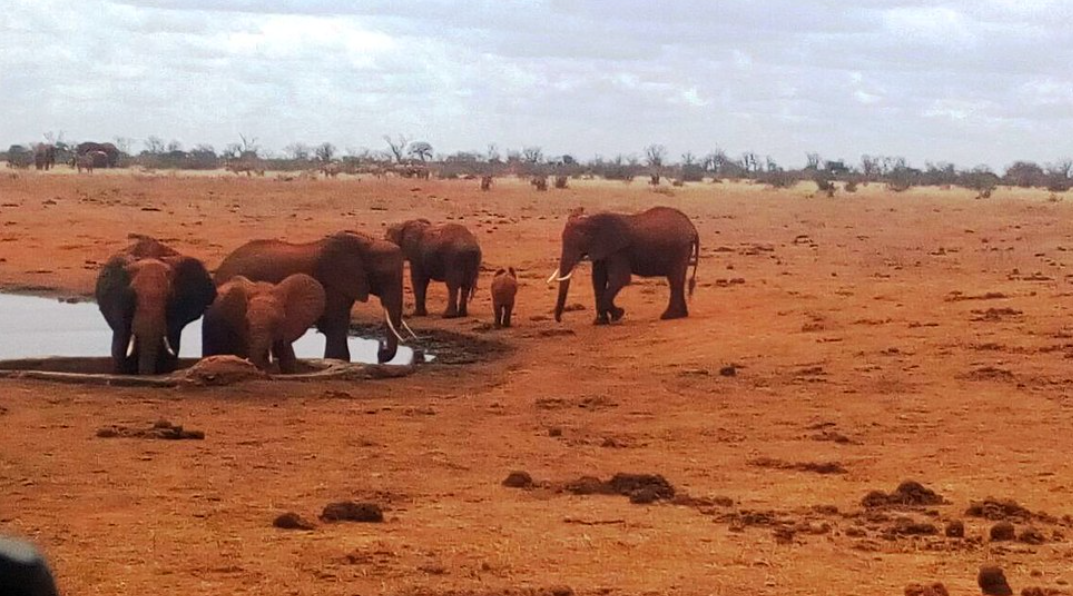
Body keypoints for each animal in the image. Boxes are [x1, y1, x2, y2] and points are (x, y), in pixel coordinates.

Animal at [215, 231, 407, 362]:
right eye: (385, 276)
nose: (380, 353)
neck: (366, 242)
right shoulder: (335, 281)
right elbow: (336, 324)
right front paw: (338, 360)